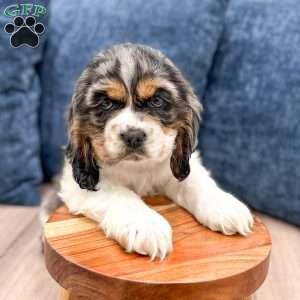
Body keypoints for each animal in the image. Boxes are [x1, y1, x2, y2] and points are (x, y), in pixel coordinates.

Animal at [56, 42, 253, 260]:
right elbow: (119, 194)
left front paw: (223, 205)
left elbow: (196, 182)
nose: (133, 135)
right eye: (106, 104)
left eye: (157, 102)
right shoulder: (78, 183)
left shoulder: (177, 166)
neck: (138, 168)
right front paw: (145, 226)